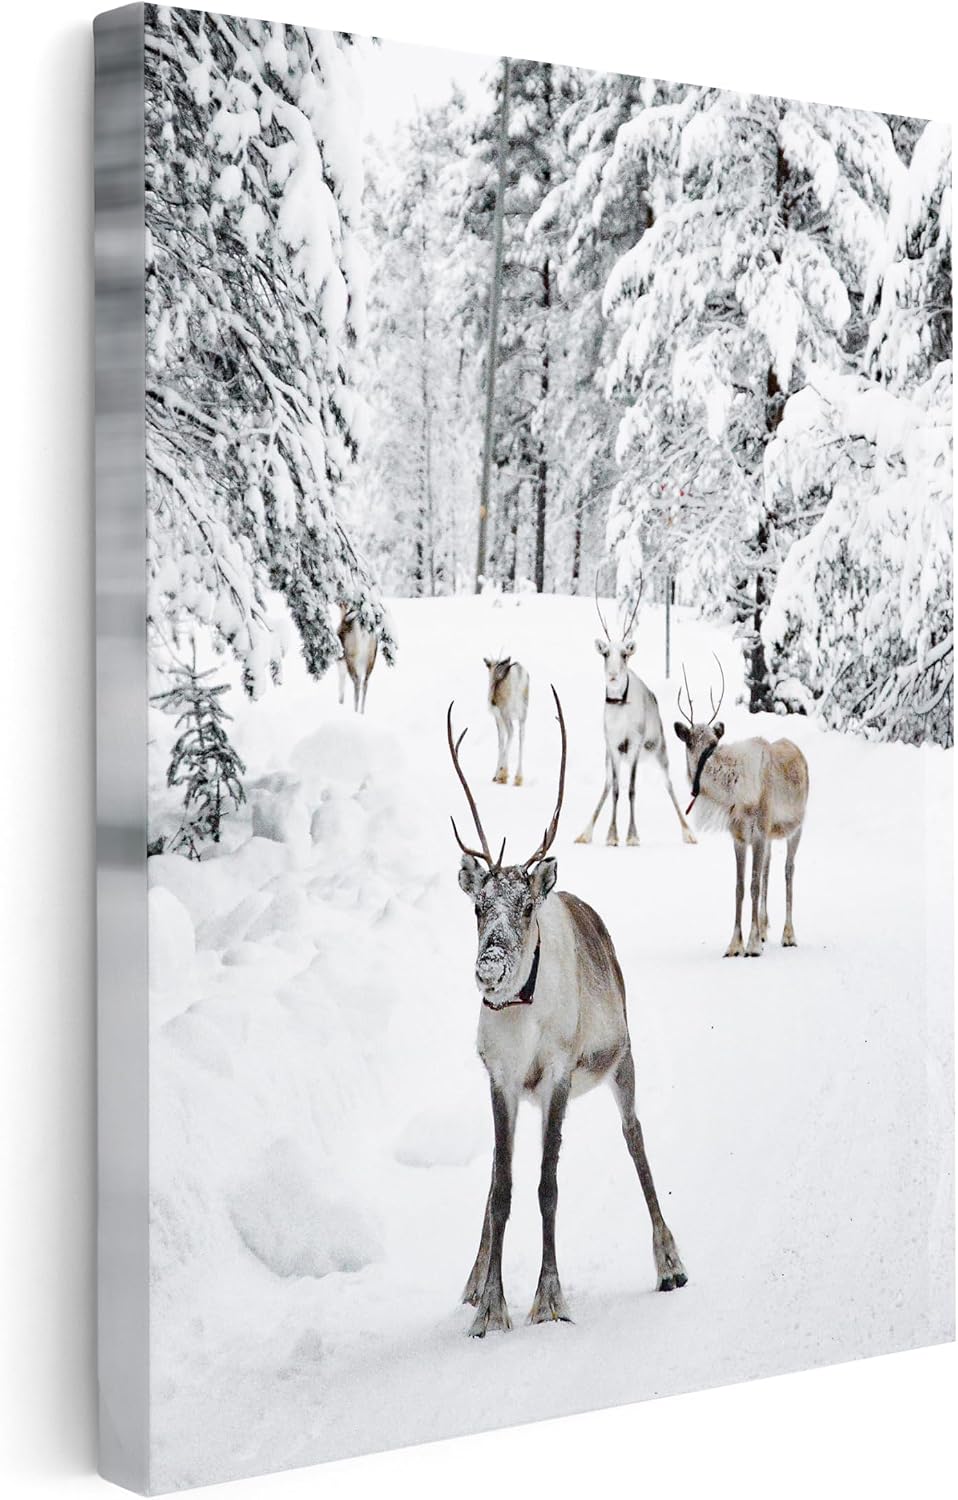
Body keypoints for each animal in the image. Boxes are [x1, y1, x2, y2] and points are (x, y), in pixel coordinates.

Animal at [448, 687, 687, 1337]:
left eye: (526, 906)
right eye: (478, 906)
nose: (491, 963)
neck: (519, 1016)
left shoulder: (556, 1073)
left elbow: (547, 1186)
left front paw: (548, 1299)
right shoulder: (501, 1079)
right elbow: (502, 1186)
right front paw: (489, 1306)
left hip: (622, 1060)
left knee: (636, 1138)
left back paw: (671, 1262)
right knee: (495, 1181)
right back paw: (472, 1282)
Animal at [483, 657, 530, 785]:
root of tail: (518, 674)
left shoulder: (497, 717)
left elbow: (501, 742)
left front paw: (499, 775)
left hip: (506, 713)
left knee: (511, 732)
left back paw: (500, 774)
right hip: (523, 715)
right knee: (522, 736)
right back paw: (518, 778)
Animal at [576, 577, 696, 847]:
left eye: (625, 654)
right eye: (605, 653)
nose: (613, 676)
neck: (620, 706)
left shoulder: (635, 744)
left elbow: (631, 789)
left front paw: (631, 836)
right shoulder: (612, 744)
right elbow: (616, 789)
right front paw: (611, 835)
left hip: (658, 751)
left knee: (669, 784)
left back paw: (688, 833)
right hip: (613, 756)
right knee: (608, 784)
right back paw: (585, 832)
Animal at [673, 657, 809, 958]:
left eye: (714, 742)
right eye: (690, 741)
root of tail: (798, 751)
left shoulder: (758, 831)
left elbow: (754, 884)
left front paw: (752, 944)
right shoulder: (738, 835)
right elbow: (739, 886)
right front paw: (735, 944)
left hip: (795, 828)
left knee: (788, 870)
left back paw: (788, 935)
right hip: (771, 835)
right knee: (770, 869)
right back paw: (766, 929)